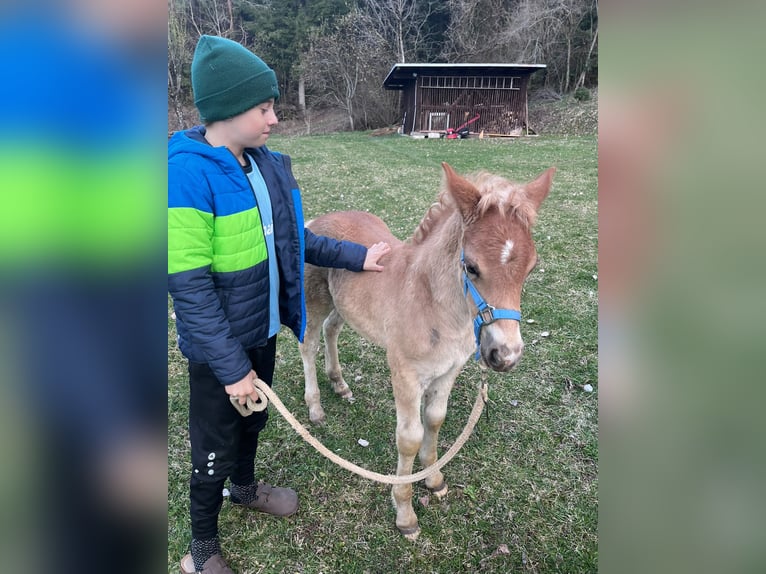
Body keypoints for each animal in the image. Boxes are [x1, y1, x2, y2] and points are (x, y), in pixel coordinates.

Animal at [299, 162, 555, 539]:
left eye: (531, 267)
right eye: (472, 267)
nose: (505, 355)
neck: (435, 307)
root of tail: (318, 220)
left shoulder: (448, 369)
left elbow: (435, 419)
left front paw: (433, 479)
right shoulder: (404, 373)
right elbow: (409, 437)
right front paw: (405, 514)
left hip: (342, 304)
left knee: (332, 331)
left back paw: (340, 384)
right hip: (315, 300)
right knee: (310, 343)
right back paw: (315, 407)